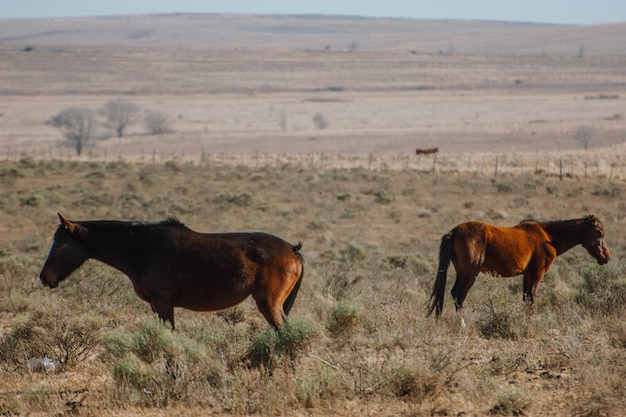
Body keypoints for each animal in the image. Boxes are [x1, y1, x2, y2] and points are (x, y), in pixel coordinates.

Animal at [39, 214, 302, 328]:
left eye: (59, 243)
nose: (44, 277)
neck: (141, 247)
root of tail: (293, 249)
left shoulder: (164, 303)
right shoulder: (157, 306)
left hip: (269, 304)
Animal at [426, 214, 608, 316]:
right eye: (599, 233)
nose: (606, 256)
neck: (548, 237)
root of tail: (453, 232)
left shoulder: (527, 275)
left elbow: (526, 298)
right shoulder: (538, 274)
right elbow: (532, 297)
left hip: (462, 272)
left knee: (454, 294)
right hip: (470, 274)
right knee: (459, 296)